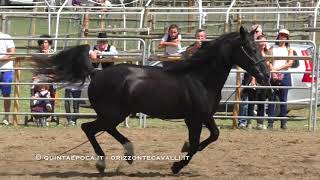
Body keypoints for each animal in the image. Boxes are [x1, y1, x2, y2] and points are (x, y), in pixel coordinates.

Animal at [33, 26, 270, 174]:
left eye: (259, 48)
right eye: (250, 49)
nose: (266, 75)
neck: (200, 78)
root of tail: (96, 73)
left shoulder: (201, 117)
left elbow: (211, 136)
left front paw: (182, 150)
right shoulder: (196, 117)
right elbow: (199, 142)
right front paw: (176, 166)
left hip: (116, 114)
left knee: (104, 129)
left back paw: (129, 154)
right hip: (112, 113)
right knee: (89, 128)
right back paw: (102, 163)